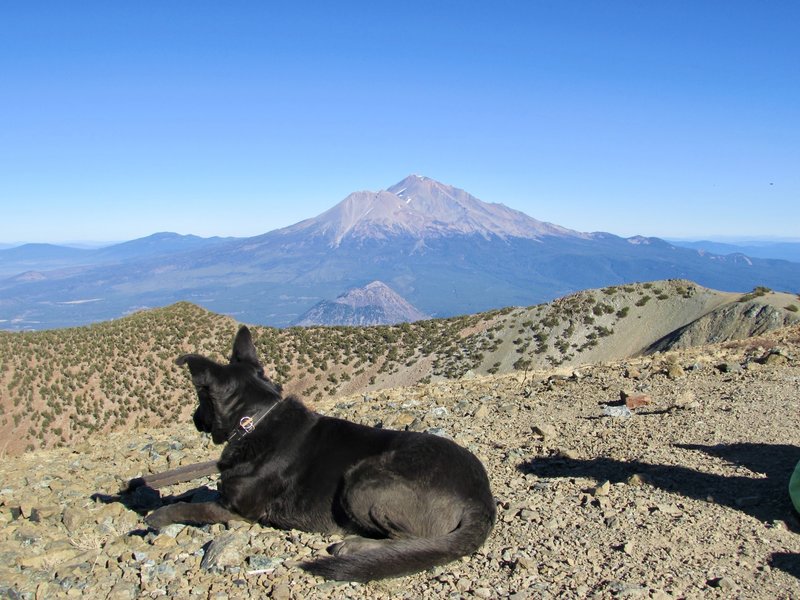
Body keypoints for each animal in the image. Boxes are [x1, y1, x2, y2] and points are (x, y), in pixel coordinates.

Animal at [145, 326, 494, 580]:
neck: (254, 421)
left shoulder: (236, 510)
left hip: (361, 479)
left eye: (200, 399)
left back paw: (354, 546)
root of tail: (481, 499)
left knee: (411, 540)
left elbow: (187, 508)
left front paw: (154, 517)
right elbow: (189, 495)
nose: (194, 418)